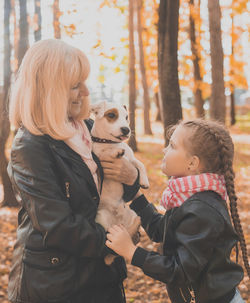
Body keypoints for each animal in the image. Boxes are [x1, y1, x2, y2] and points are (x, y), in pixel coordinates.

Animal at [91, 101, 148, 264]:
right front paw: (114, 153)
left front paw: (144, 181)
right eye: (111, 115)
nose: (126, 129)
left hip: (133, 214)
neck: (112, 143)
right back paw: (109, 258)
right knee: (111, 248)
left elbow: (140, 164)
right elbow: (104, 153)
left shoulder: (131, 159)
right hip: (102, 218)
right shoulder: (98, 156)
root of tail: (119, 223)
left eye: (127, 117)